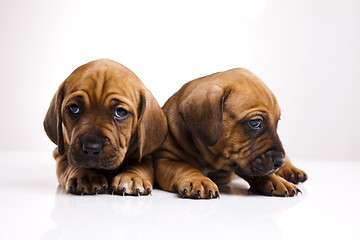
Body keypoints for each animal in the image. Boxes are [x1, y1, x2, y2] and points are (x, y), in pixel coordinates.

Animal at [44, 59, 167, 196]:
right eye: (74, 108)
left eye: (121, 112)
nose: (91, 148)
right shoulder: (62, 154)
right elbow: (72, 165)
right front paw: (86, 176)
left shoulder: (145, 154)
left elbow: (139, 164)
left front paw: (132, 177)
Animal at [153, 68, 308, 199]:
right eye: (255, 123)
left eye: (277, 123)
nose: (279, 161)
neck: (209, 158)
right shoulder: (164, 160)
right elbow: (183, 167)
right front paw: (198, 179)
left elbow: (258, 172)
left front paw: (276, 180)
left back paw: (290, 170)